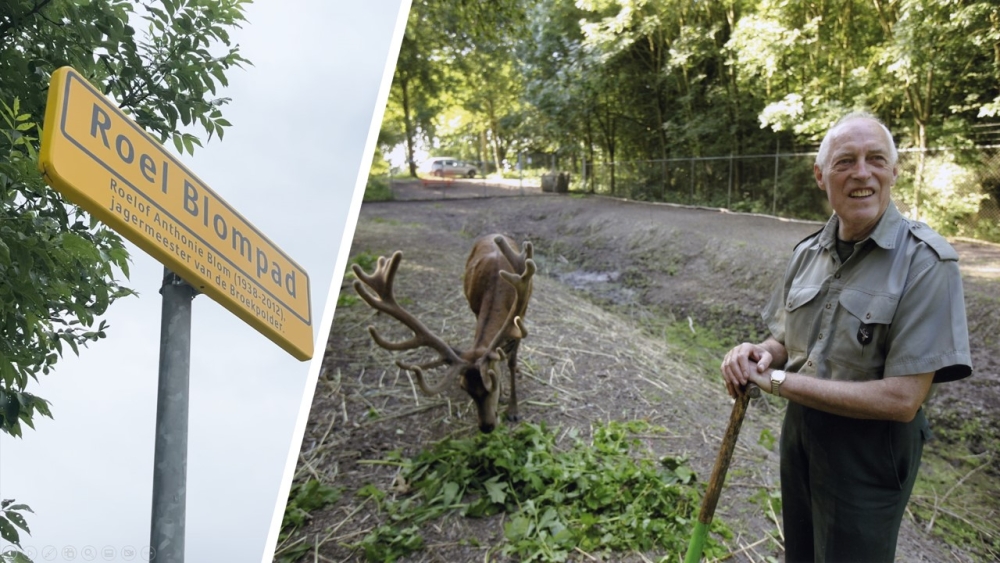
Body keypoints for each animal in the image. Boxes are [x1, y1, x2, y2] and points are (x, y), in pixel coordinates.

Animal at [354, 232, 536, 432]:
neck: (499, 287)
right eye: (464, 387)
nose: (486, 427)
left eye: (491, 383)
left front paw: (513, 409)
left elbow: (511, 361)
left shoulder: (521, 314)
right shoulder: (476, 308)